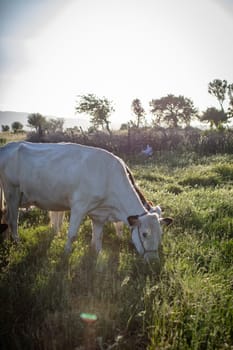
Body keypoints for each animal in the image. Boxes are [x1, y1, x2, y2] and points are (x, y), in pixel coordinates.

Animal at [0, 142, 171, 260]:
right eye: (144, 234)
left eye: (161, 234)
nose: (154, 260)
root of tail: (7, 146)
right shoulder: (78, 207)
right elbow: (72, 234)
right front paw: (65, 255)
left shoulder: (99, 216)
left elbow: (98, 237)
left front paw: (97, 256)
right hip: (12, 192)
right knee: (13, 220)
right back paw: (17, 243)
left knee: (6, 217)